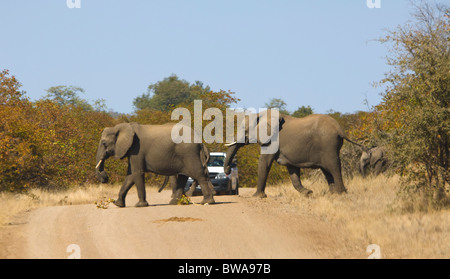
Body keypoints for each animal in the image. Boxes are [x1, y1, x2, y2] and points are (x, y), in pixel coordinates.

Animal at [223, 110, 364, 198]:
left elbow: (264, 162)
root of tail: (339, 129)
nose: (228, 170)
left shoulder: (272, 140)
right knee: (327, 170)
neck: (260, 113)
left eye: (244, 129)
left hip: (328, 144)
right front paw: (308, 193)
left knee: (333, 166)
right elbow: (292, 170)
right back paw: (332, 194)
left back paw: (341, 194)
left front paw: (257, 196)